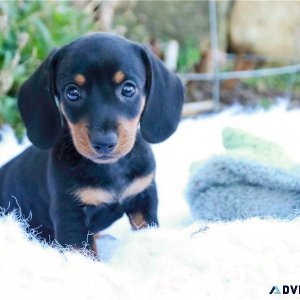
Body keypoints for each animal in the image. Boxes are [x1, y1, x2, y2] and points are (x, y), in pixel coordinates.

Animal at [0, 32, 184, 252]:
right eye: (72, 92)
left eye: (128, 89)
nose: (104, 143)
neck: (111, 168)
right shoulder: (70, 216)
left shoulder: (143, 198)